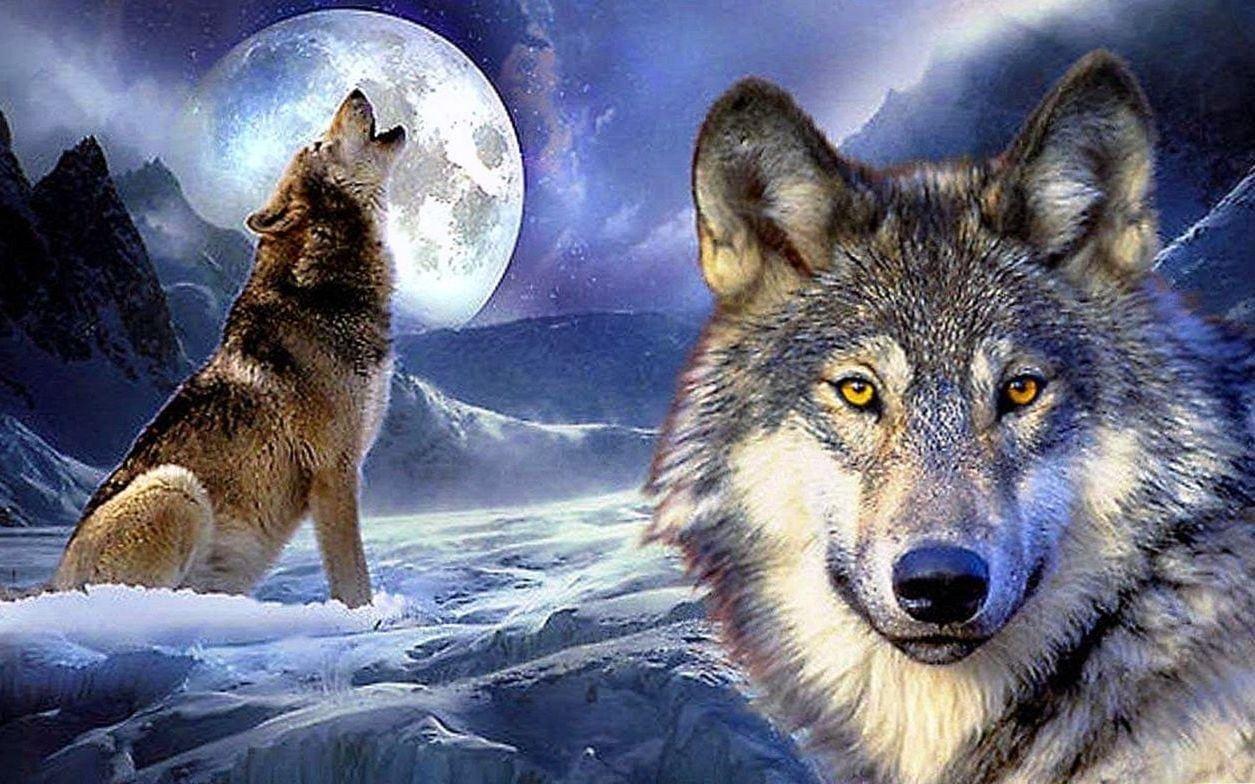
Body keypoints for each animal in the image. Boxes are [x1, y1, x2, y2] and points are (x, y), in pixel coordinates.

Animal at [51, 90, 405, 608]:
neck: (325, 291)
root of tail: (52, 583)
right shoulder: (334, 473)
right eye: (319, 144)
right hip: (176, 487)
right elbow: (353, 579)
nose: (357, 91)